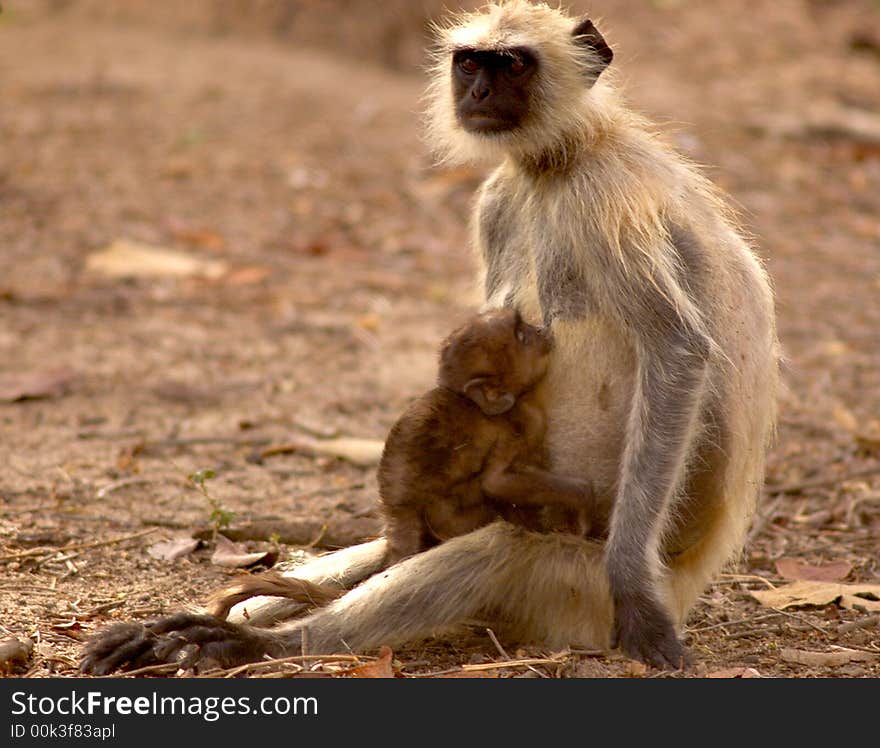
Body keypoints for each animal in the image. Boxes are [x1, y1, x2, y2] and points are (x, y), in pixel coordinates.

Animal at [208, 310, 600, 620]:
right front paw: (581, 501)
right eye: (520, 335)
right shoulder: (516, 427)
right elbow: (496, 482)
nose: (541, 331)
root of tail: (398, 521)